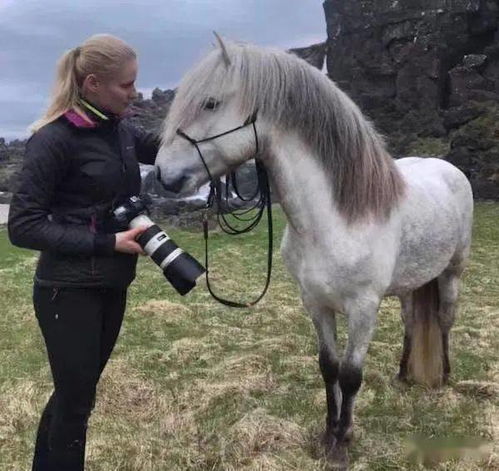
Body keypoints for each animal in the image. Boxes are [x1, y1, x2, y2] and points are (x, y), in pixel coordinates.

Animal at [154, 37, 474, 468]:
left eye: (210, 103)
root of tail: (447, 167)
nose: (163, 175)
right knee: (411, 321)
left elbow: (351, 375)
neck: (334, 219)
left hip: (452, 273)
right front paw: (326, 435)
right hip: (411, 283)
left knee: (443, 320)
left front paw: (342, 443)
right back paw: (405, 373)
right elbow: (328, 368)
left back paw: (444, 376)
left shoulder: (363, 308)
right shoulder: (315, 304)